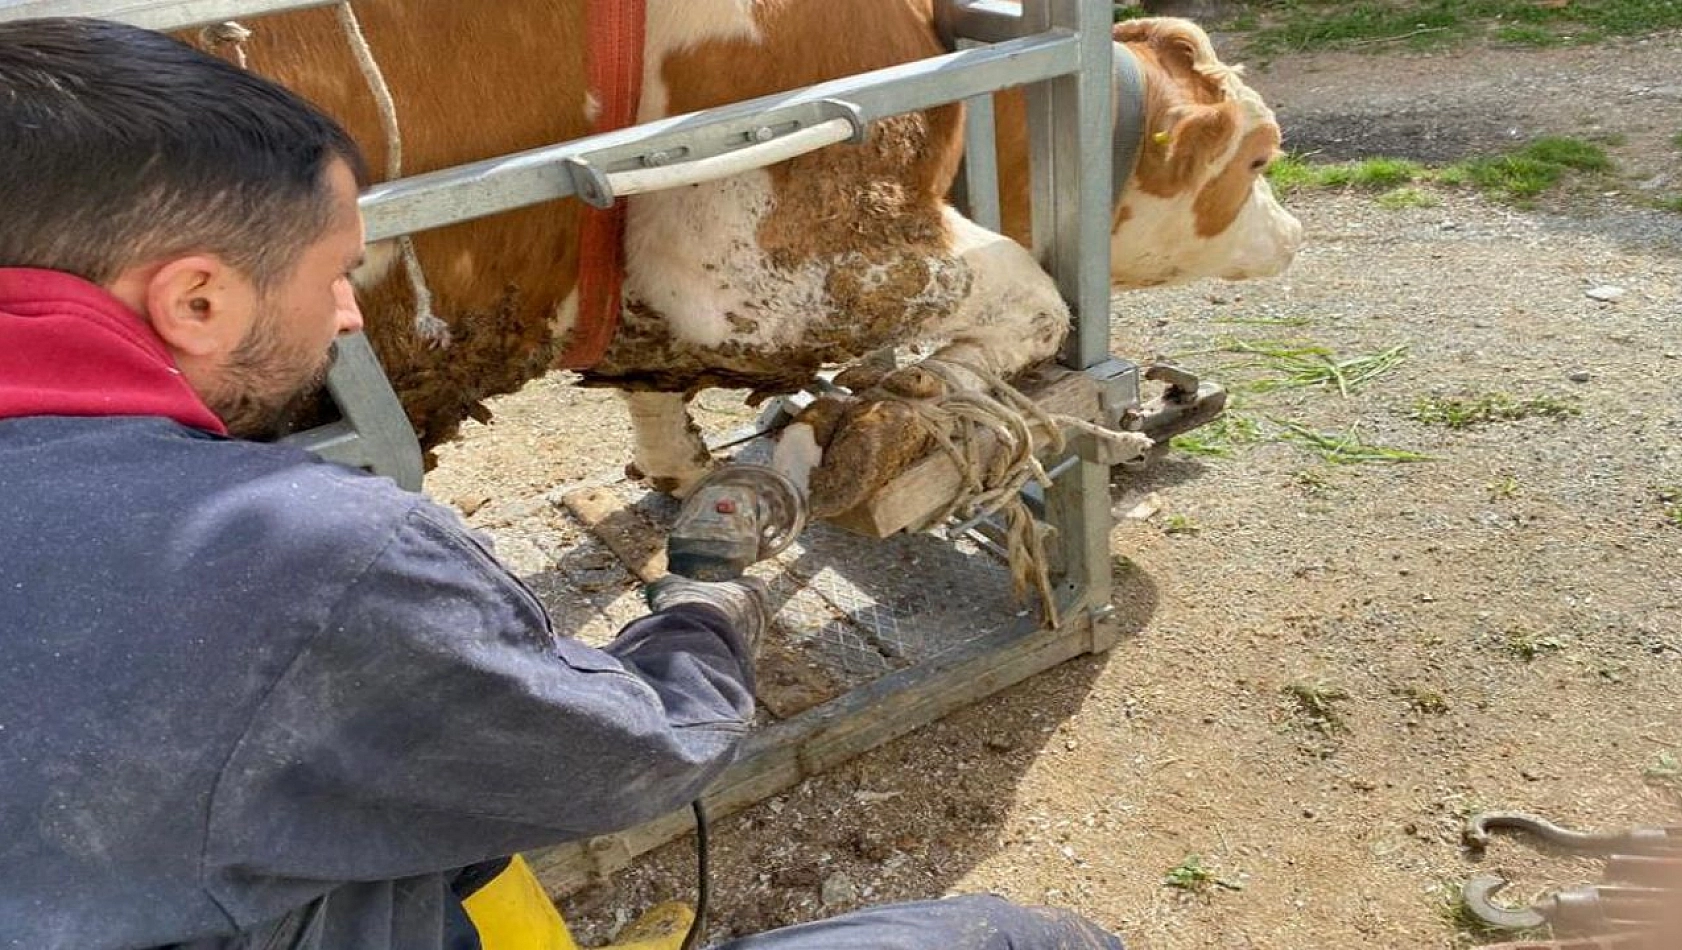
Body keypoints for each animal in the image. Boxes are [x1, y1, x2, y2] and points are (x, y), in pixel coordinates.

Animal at [200, 1, 1298, 504]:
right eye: (1259, 154)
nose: (1294, 234)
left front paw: (678, 463)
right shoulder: (752, 255)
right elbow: (1035, 298)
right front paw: (939, 391)